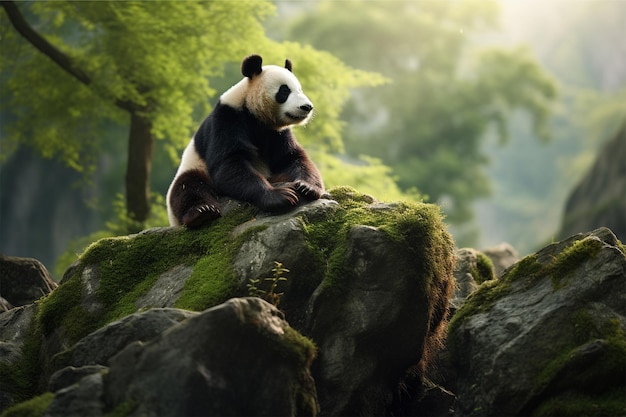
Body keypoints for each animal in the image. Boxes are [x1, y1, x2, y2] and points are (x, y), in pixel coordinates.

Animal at [166, 54, 324, 228]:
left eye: (299, 89)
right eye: (284, 90)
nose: (307, 107)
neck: (253, 113)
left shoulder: (276, 132)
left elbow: (291, 157)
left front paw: (307, 186)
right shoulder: (227, 119)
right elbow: (229, 163)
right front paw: (281, 196)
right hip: (194, 167)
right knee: (188, 186)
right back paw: (202, 212)